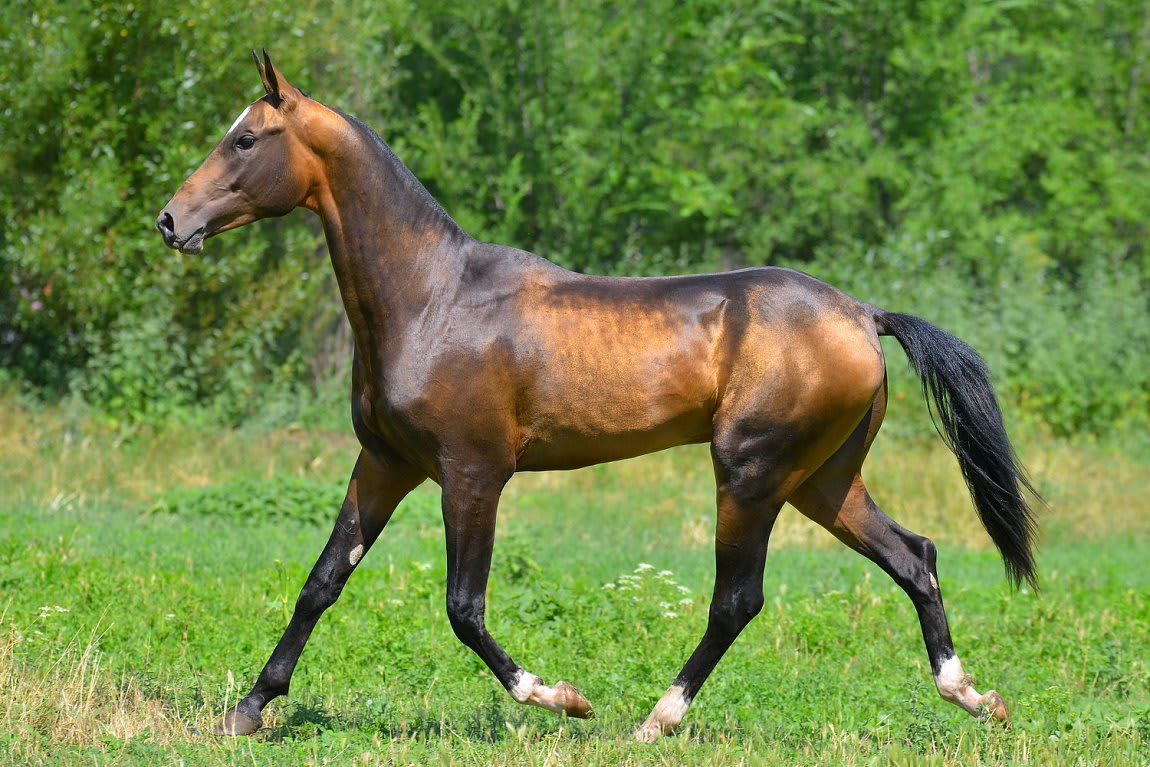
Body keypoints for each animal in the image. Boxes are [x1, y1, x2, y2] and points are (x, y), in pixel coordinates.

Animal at [157, 51, 1039, 741]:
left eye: (245, 137)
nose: (171, 220)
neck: (433, 299)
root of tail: (862, 313)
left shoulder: (473, 473)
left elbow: (463, 607)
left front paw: (562, 698)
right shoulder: (383, 464)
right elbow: (321, 582)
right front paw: (248, 708)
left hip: (751, 473)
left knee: (738, 599)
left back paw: (656, 718)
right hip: (823, 480)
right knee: (915, 556)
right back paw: (975, 697)